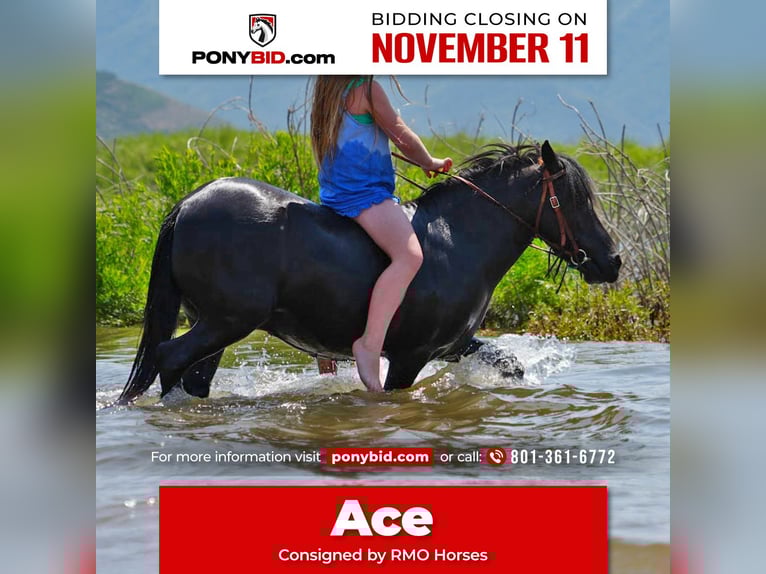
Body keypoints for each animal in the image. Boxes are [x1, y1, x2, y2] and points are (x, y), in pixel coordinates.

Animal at [117, 141, 621, 404]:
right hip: (227, 321)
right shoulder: (412, 354)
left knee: (191, 375)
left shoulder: (453, 345)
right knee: (169, 358)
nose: (612, 262)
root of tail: (188, 204)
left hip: (213, 322)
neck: (460, 240)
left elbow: (510, 365)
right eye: (574, 199)